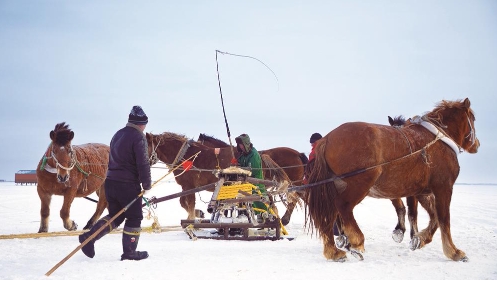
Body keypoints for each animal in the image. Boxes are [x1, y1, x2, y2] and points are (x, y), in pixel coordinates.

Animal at [304, 97, 478, 262]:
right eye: (473, 118)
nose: (476, 144)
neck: (438, 139)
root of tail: (327, 139)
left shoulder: (421, 191)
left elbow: (432, 216)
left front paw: (420, 239)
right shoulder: (443, 187)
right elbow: (443, 219)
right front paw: (454, 252)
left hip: (335, 187)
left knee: (330, 212)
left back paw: (334, 251)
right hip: (359, 184)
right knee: (343, 206)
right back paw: (356, 241)